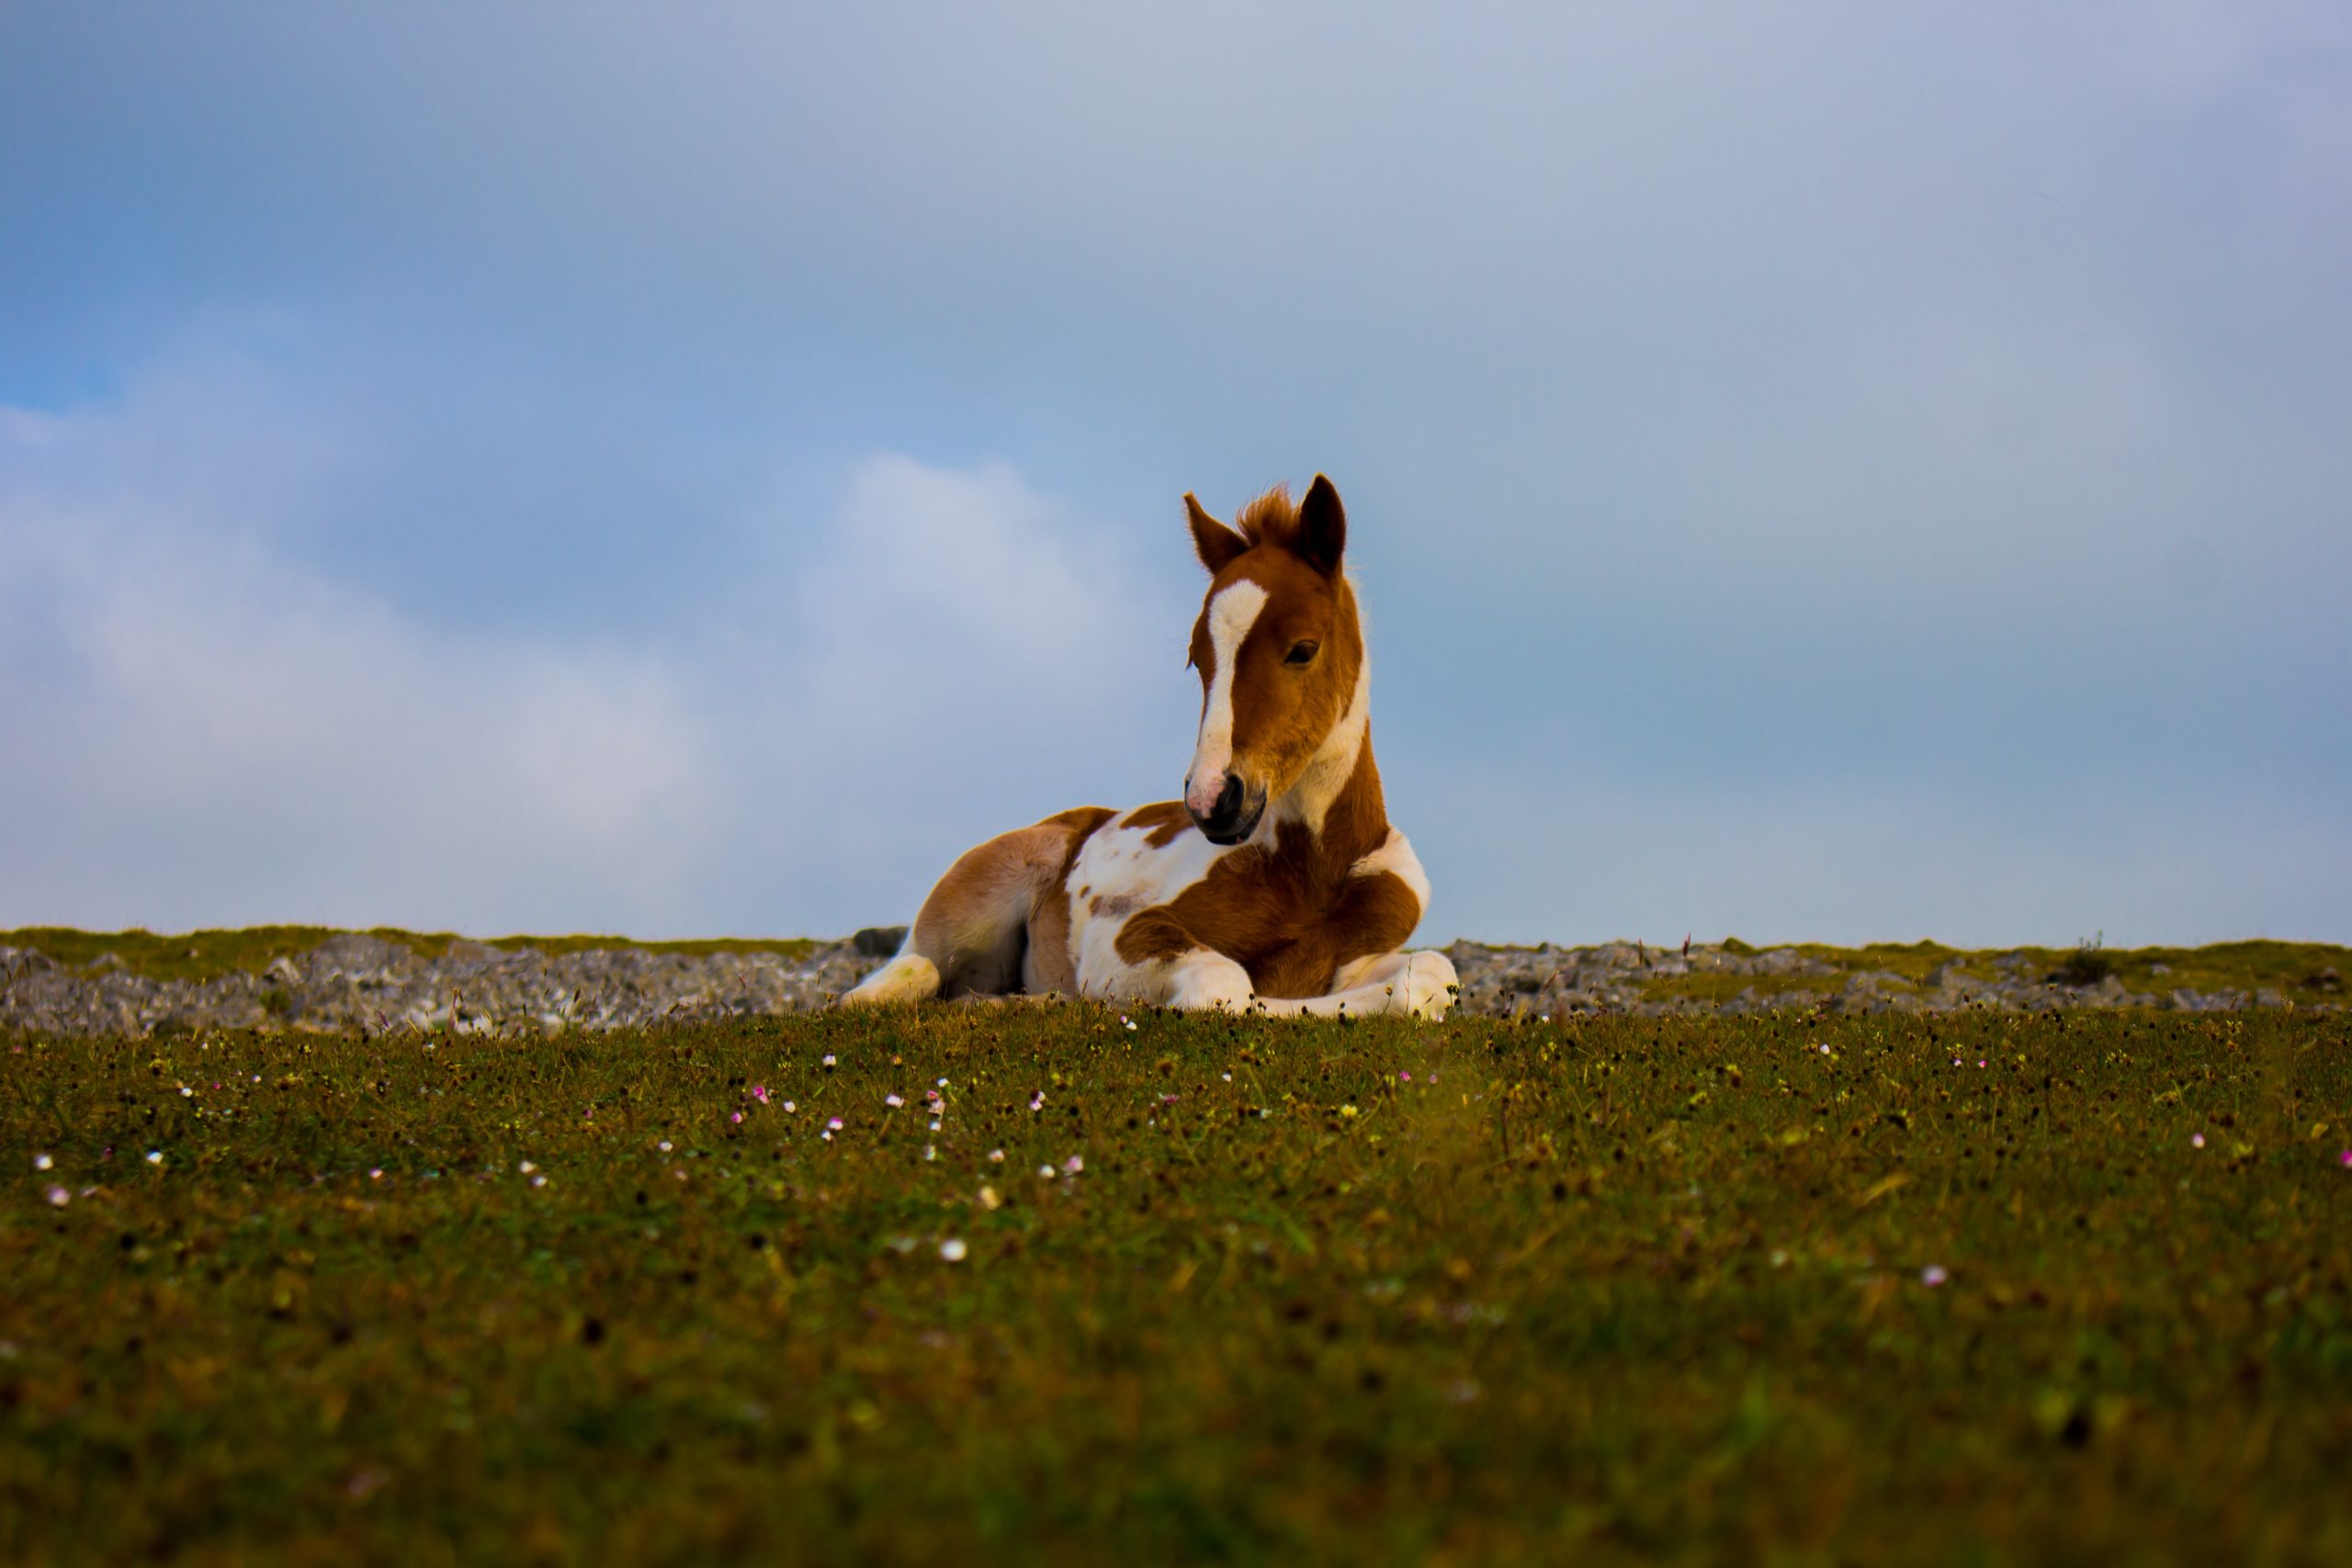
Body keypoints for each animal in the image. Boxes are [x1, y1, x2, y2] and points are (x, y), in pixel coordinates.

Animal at [846, 474, 1458, 1020]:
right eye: (1197, 659)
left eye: (1303, 649)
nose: (1212, 800)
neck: (1313, 871)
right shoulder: (1127, 932)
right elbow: (1226, 987)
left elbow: (1429, 979)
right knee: (903, 975)